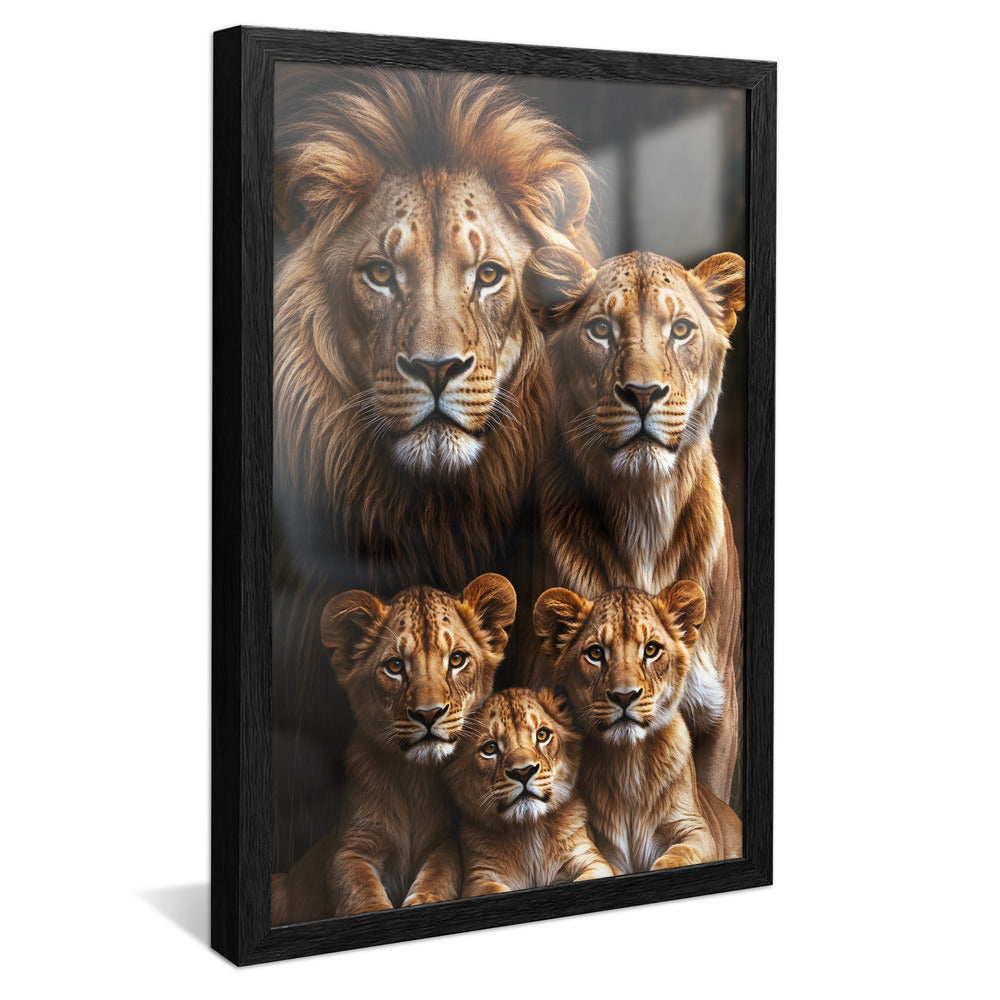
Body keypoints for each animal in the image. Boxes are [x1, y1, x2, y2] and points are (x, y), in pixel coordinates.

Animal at [270, 573, 516, 923]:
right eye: (395, 666)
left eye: (456, 659)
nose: (428, 714)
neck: (413, 778)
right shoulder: (350, 847)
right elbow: (357, 888)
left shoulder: (444, 840)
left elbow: (443, 869)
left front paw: (425, 899)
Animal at [446, 688, 613, 896]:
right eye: (490, 748)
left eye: (542, 735)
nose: (523, 772)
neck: (528, 831)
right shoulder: (478, 879)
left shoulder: (590, 859)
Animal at [533, 583, 741, 873]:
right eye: (595, 653)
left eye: (651, 650)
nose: (624, 696)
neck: (629, 761)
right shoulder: (597, 847)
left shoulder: (695, 828)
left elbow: (684, 852)